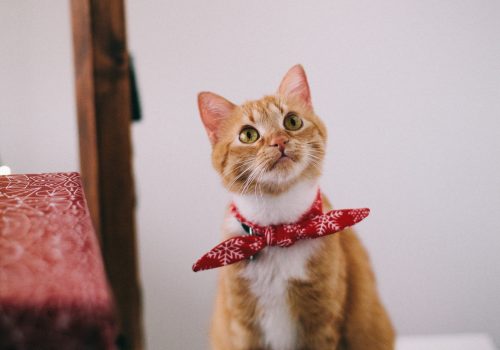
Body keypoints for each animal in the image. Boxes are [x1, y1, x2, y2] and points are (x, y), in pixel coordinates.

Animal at [197, 64, 392, 348]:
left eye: (292, 121)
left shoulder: (322, 321)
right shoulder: (243, 327)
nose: (279, 141)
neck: (279, 232)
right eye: (248, 134)